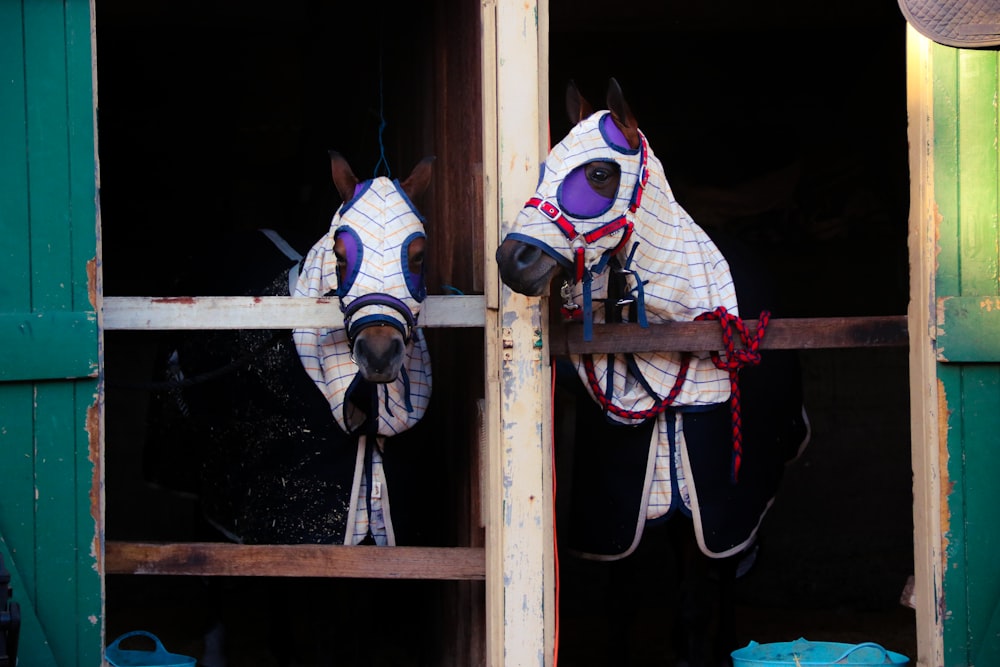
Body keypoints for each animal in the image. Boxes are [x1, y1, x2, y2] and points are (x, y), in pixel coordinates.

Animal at [496, 79, 808, 667]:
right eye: (547, 164)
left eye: (600, 173)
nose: (513, 261)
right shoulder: (623, 508)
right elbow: (622, 602)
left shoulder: (709, 504)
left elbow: (692, 603)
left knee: (721, 579)